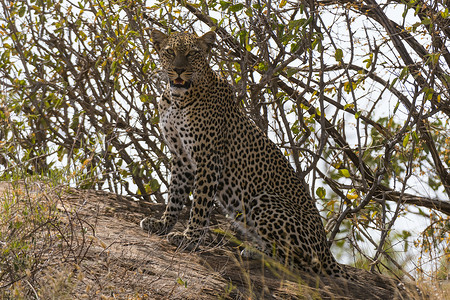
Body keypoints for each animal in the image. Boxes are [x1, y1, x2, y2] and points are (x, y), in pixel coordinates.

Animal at [139, 29, 350, 278]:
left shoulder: (208, 159)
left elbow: (199, 205)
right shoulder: (181, 157)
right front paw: (162, 225)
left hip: (264, 200)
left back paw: (257, 253)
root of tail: (327, 250)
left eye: (192, 53)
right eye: (170, 52)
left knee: (304, 264)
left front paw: (189, 239)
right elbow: (175, 197)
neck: (177, 99)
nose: (179, 69)